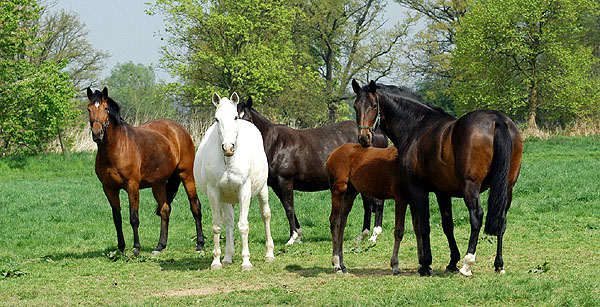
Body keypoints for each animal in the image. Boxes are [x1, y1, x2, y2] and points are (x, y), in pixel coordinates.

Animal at [85, 88, 205, 256]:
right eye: (89, 109)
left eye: (106, 108)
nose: (97, 133)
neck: (117, 148)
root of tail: (179, 130)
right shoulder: (109, 188)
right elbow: (117, 219)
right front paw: (120, 248)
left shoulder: (132, 186)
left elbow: (134, 217)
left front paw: (136, 248)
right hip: (158, 184)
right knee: (165, 210)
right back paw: (160, 246)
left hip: (186, 175)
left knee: (195, 207)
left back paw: (200, 245)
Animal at [193, 92, 276, 270]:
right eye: (216, 119)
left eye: (235, 117)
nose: (228, 147)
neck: (228, 160)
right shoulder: (215, 192)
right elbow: (217, 226)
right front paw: (216, 261)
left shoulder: (244, 190)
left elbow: (244, 226)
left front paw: (246, 262)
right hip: (226, 198)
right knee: (229, 221)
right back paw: (228, 257)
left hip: (262, 189)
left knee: (265, 215)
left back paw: (269, 254)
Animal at [352, 79, 520, 276]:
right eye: (356, 106)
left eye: (373, 105)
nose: (364, 138)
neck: (416, 126)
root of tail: (497, 120)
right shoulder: (442, 192)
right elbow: (447, 225)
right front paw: (452, 261)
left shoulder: (418, 189)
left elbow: (424, 226)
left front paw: (426, 264)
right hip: (507, 187)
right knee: (501, 219)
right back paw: (498, 264)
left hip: (471, 187)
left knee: (476, 216)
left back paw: (467, 263)